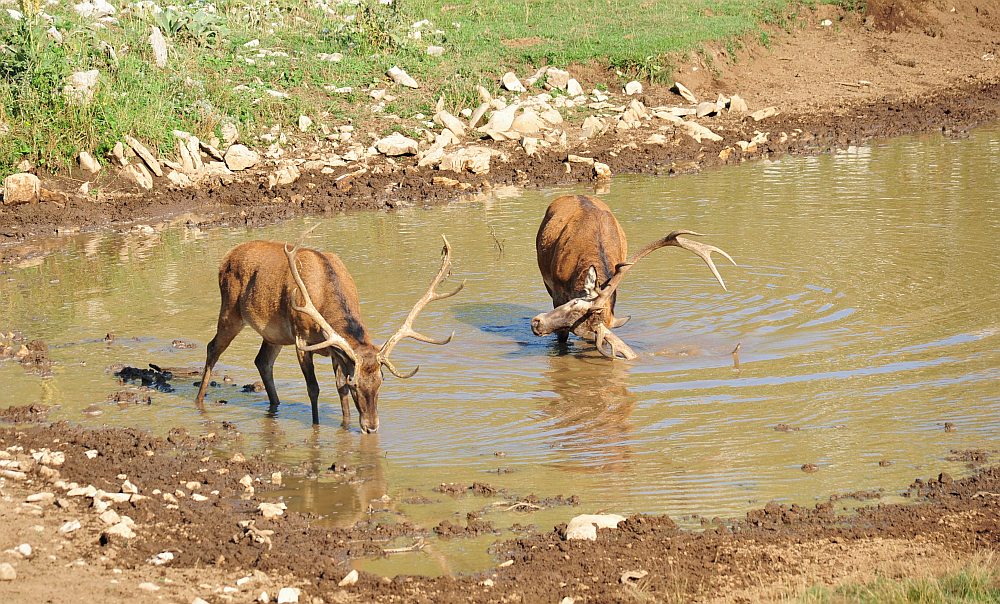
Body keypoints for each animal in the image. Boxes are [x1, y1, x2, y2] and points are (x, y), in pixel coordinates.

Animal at [195, 232, 464, 434]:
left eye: (380, 382)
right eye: (356, 385)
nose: (371, 427)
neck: (325, 293)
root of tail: (226, 257)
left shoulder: (337, 351)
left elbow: (338, 389)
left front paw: (346, 427)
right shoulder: (302, 339)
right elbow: (314, 388)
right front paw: (316, 427)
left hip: (274, 334)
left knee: (262, 361)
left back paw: (275, 405)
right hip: (231, 310)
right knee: (212, 347)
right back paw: (198, 400)